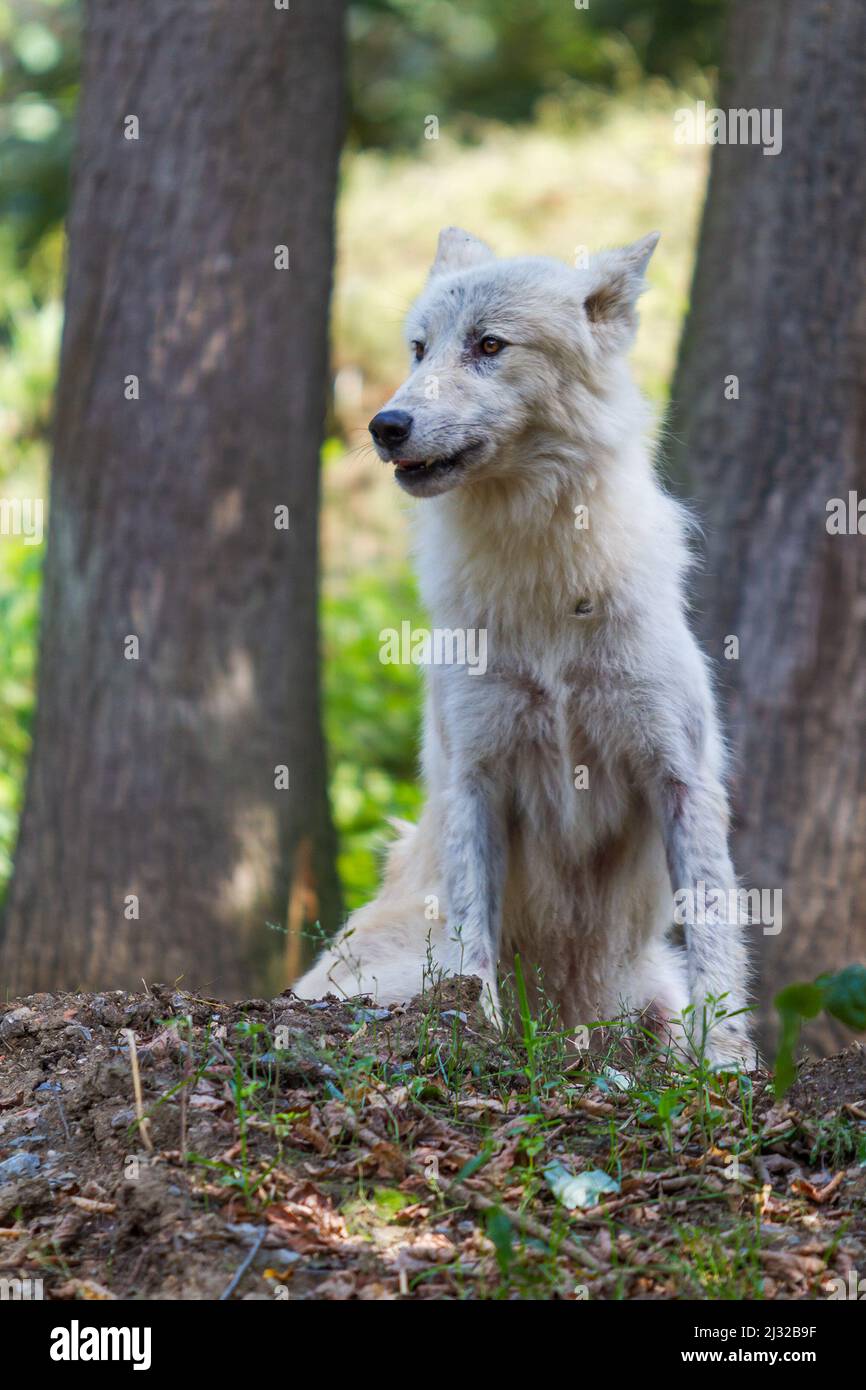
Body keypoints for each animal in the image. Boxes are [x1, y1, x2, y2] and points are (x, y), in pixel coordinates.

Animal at [296, 227, 753, 1067]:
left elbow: (716, 936)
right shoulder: (476, 781)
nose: (384, 425)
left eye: (488, 345)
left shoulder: (682, 778)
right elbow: (473, 939)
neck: (542, 579)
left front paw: (726, 1063)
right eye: (419, 349)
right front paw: (479, 1031)